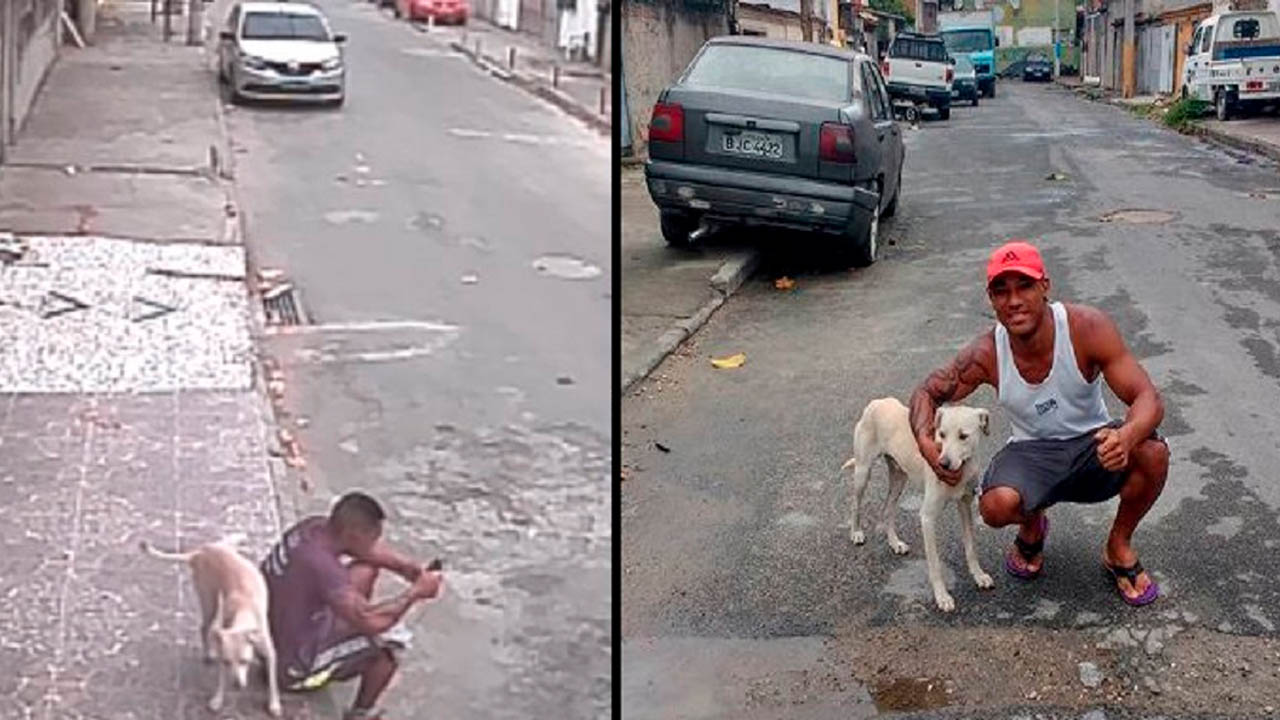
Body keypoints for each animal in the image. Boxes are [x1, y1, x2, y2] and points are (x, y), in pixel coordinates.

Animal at [145, 530, 285, 712]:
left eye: (245, 661)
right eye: (227, 662)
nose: (236, 685)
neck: (243, 610)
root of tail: (199, 553)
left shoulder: (270, 653)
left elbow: (272, 680)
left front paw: (274, 704)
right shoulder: (223, 649)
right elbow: (221, 678)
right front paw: (218, 698)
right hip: (209, 603)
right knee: (204, 627)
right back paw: (208, 653)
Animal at [844, 394, 993, 607]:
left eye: (963, 436)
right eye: (942, 434)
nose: (942, 464)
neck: (961, 471)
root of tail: (878, 401)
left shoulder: (965, 506)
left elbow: (971, 547)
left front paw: (979, 575)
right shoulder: (927, 517)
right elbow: (935, 563)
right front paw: (942, 596)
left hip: (899, 478)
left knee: (887, 509)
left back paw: (895, 543)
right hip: (863, 472)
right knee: (855, 503)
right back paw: (856, 533)